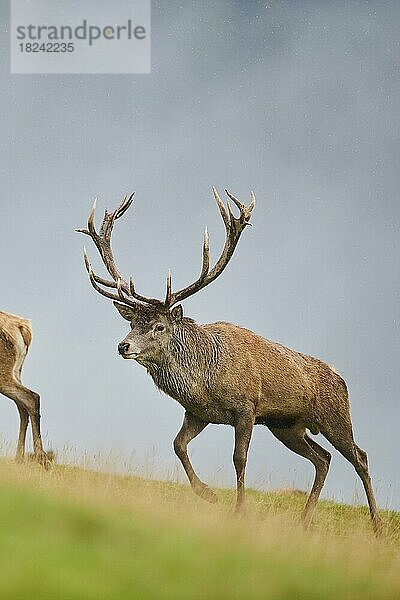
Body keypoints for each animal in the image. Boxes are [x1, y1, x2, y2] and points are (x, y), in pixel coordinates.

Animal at [0, 312, 49, 466]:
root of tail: (23, 327)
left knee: (31, 398)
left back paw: (40, 457)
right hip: (17, 371)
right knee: (22, 406)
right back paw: (19, 458)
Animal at [77, 189, 382, 536]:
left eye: (159, 326)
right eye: (131, 323)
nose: (123, 345)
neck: (204, 380)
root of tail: (341, 378)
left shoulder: (246, 407)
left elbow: (239, 458)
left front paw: (239, 510)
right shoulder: (198, 413)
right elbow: (178, 445)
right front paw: (207, 494)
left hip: (335, 416)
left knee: (359, 456)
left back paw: (377, 526)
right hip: (287, 426)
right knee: (323, 458)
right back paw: (304, 521)